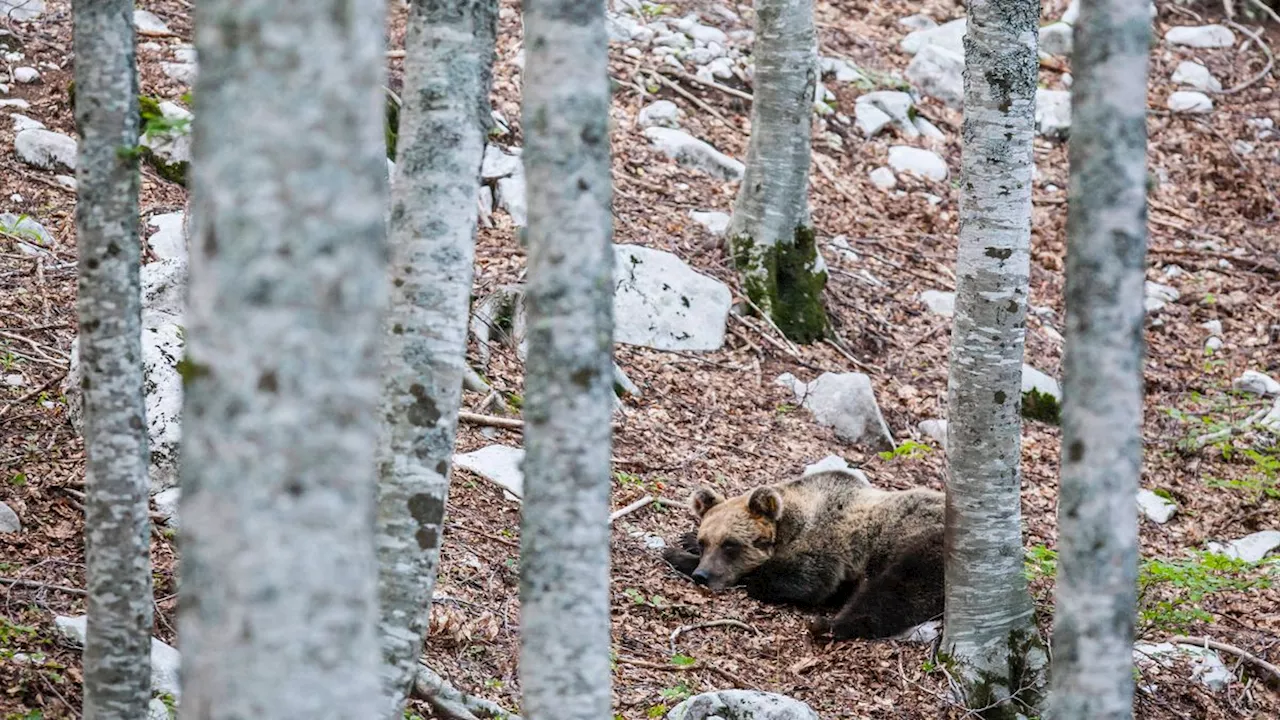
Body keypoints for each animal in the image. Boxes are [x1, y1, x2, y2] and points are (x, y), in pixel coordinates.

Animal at [665, 466, 947, 638]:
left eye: (730, 544)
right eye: (705, 542)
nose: (703, 575)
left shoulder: (828, 545)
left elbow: (804, 579)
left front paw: (678, 556)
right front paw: (684, 544)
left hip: (922, 548)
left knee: (895, 593)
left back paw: (828, 625)